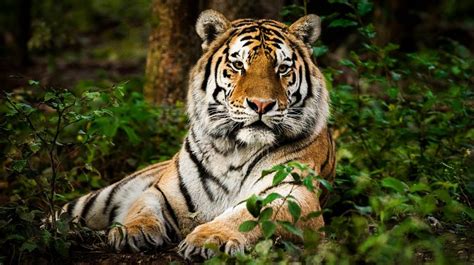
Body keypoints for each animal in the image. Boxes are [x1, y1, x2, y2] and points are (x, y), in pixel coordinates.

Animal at [57, 9, 336, 258]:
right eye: (238, 65)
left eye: (282, 68)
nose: (261, 104)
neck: (236, 150)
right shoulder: (164, 192)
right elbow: (142, 208)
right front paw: (131, 231)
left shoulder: (293, 194)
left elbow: (246, 215)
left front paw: (210, 239)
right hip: (101, 198)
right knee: (62, 213)